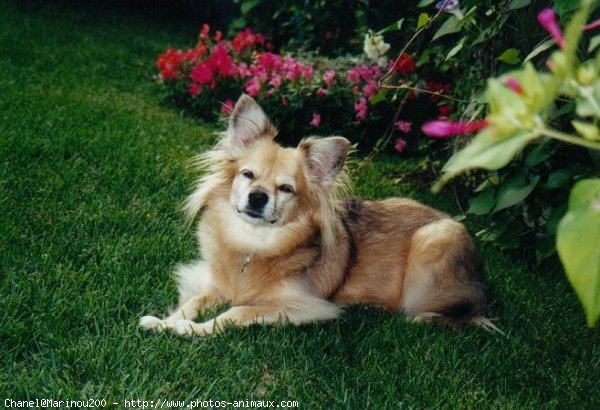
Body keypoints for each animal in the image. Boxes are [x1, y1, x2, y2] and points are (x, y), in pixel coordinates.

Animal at [141, 93, 496, 336]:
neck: (255, 245)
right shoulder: (219, 286)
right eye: (247, 174)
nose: (258, 197)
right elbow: (194, 301)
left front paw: (193, 329)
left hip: (435, 239)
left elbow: (236, 312)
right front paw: (165, 322)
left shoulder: (304, 305)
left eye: (286, 188)